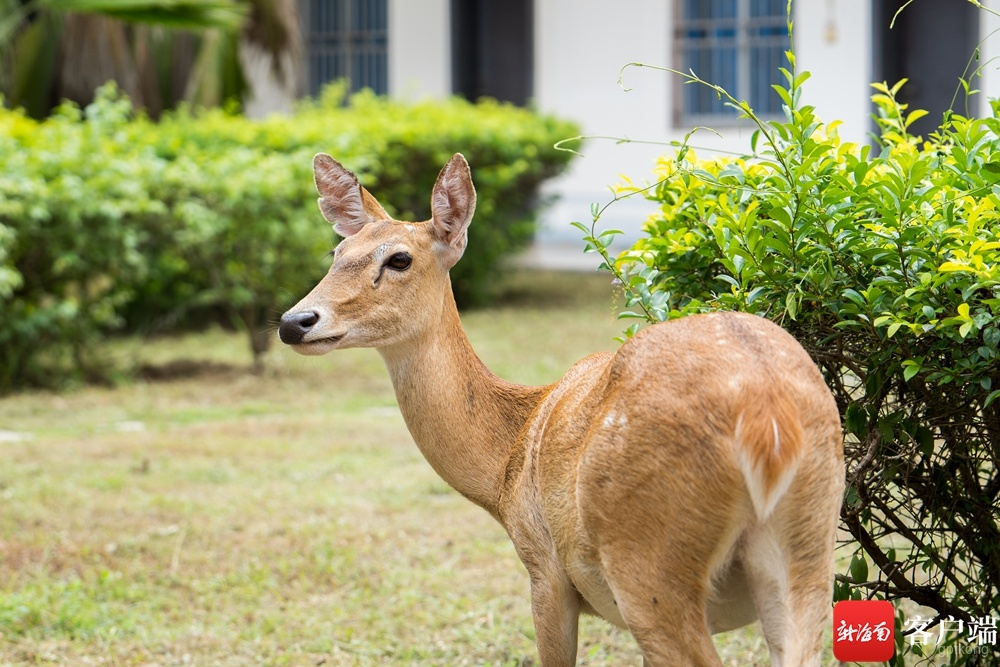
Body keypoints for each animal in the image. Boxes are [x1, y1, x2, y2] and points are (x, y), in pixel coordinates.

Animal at [280, 153, 844, 667]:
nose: (294, 321)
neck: (507, 461)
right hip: (809, 549)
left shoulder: (544, 569)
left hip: (649, 561)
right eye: (337, 250)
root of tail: (768, 418)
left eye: (399, 259)